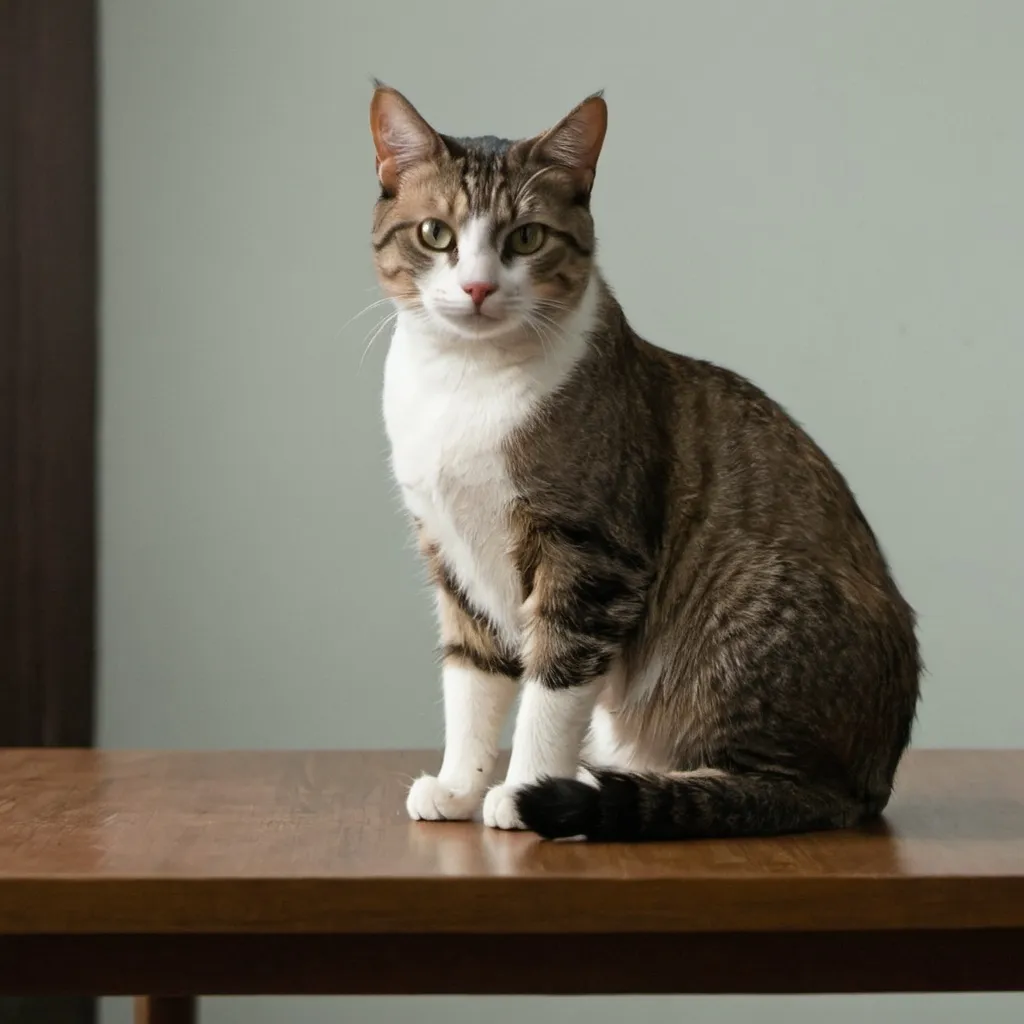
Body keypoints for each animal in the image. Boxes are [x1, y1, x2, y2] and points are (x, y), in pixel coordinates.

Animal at [366, 83, 921, 839]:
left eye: (526, 238)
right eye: (435, 234)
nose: (478, 288)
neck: (465, 386)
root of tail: (872, 780)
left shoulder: (592, 558)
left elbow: (552, 686)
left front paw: (524, 791)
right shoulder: (453, 556)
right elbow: (472, 680)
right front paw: (458, 786)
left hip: (746, 605)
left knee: (778, 789)